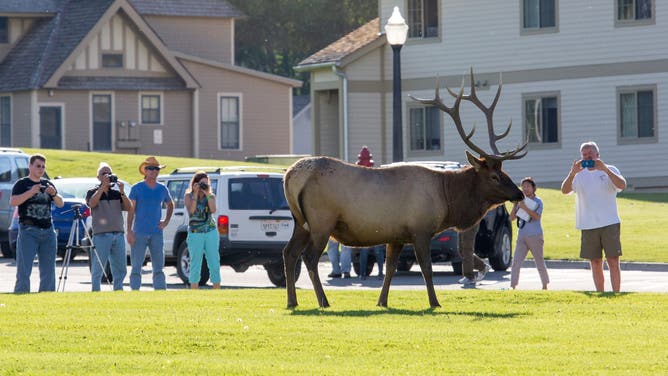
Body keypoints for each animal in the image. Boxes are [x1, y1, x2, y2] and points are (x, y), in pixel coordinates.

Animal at [280, 67, 528, 308]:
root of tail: (291, 175)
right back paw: (323, 301)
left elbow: (390, 268)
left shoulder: (396, 235)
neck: (447, 198)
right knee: (309, 257)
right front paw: (435, 302)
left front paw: (382, 301)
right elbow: (426, 268)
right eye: (494, 176)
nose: (519, 193)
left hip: (301, 222)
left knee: (289, 252)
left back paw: (292, 301)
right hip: (322, 220)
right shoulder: (420, 229)